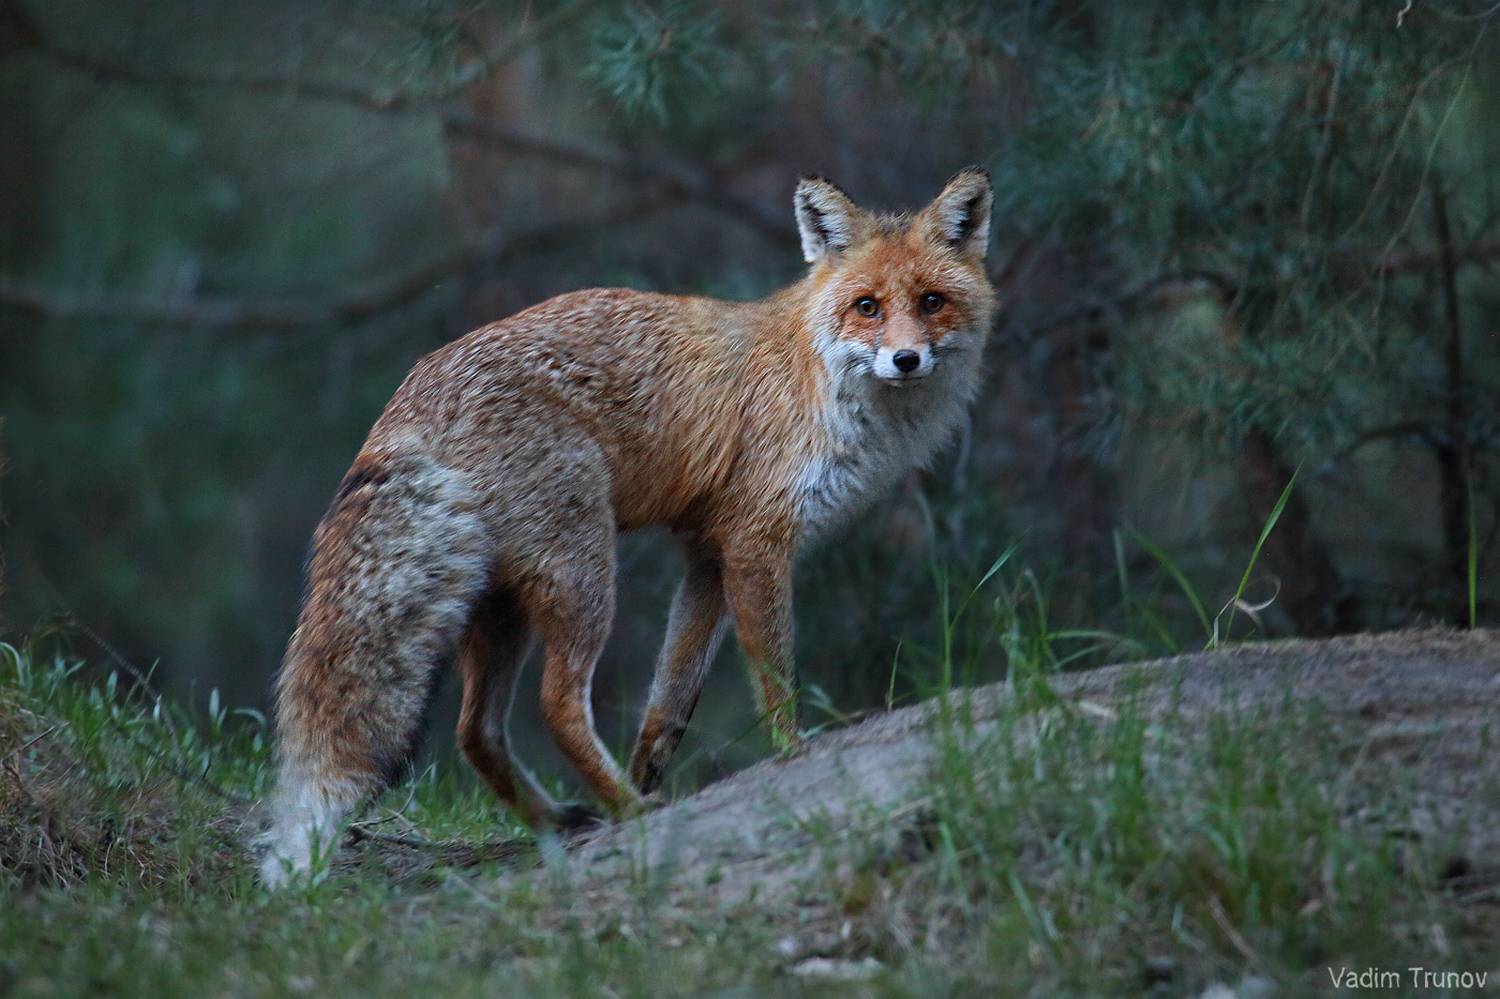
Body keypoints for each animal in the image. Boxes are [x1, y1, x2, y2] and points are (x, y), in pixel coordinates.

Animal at [259, 168, 997, 884]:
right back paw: (626, 810)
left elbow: (671, 695)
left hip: (498, 608)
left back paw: (566, 817)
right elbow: (774, 678)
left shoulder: (707, 553)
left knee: (476, 733)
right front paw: (790, 753)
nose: (906, 360)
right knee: (556, 705)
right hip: (583, 574)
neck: (821, 382)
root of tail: (413, 397)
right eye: (867, 306)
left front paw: (651, 770)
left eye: (931, 301)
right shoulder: (756, 540)